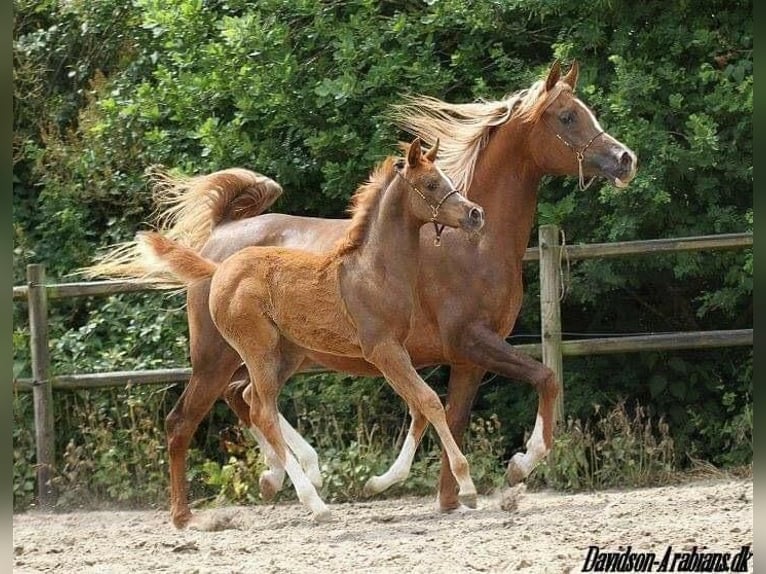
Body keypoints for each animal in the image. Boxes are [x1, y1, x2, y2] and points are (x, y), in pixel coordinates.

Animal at [138, 140, 486, 520]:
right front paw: (468, 486)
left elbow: (418, 408)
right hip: (249, 352)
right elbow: (429, 401)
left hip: (285, 356)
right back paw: (308, 502)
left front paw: (377, 483)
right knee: (252, 412)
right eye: (431, 184)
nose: (475, 214)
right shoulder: (383, 350)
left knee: (251, 401)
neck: (374, 271)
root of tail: (219, 269)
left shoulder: (397, 351)